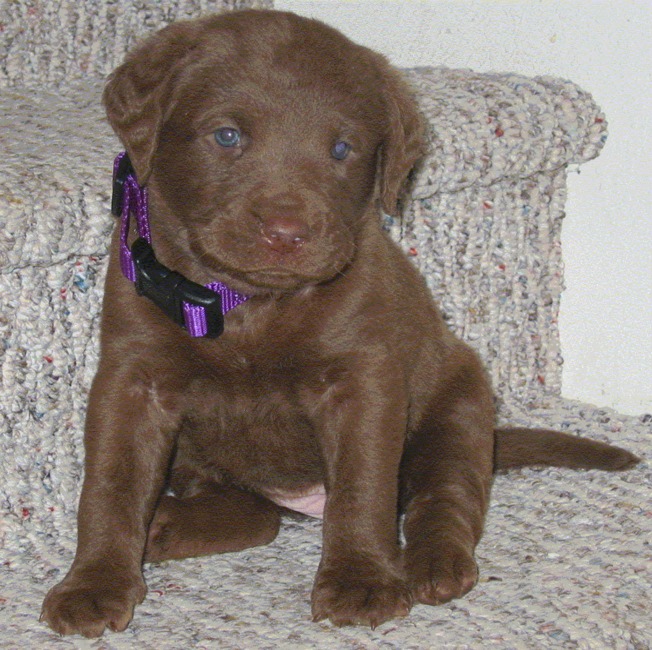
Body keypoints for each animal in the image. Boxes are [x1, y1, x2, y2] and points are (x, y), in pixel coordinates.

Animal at [41, 9, 639, 637]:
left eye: (342, 149)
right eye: (227, 136)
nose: (287, 232)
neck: (248, 303)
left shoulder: (362, 380)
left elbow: (362, 489)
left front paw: (362, 581)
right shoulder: (133, 380)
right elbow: (110, 486)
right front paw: (93, 584)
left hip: (459, 405)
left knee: (445, 495)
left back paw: (435, 564)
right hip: (203, 458)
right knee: (252, 513)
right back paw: (164, 525)